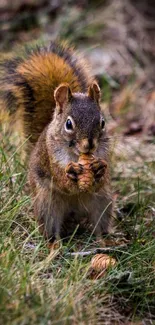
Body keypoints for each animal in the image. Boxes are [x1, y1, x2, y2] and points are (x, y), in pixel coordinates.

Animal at [0, 40, 113, 242]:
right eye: (68, 124)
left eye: (102, 122)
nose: (89, 145)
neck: (76, 155)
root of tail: (74, 213)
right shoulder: (50, 156)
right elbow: (60, 179)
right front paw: (71, 173)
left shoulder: (104, 153)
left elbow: (101, 178)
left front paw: (100, 168)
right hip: (47, 203)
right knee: (50, 227)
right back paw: (54, 244)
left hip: (102, 201)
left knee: (100, 223)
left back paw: (107, 240)